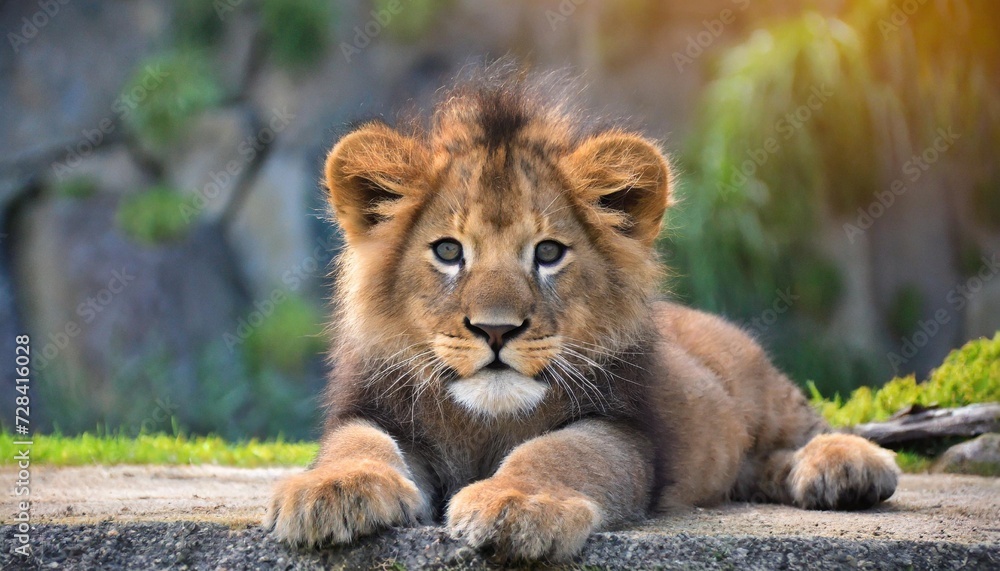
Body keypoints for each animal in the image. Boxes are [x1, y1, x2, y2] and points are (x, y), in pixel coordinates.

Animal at [265, 71, 899, 562]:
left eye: (548, 253)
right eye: (448, 251)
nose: (496, 329)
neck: (484, 422)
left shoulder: (623, 429)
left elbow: (559, 452)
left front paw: (516, 503)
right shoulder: (371, 409)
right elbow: (356, 442)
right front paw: (331, 491)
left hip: (763, 390)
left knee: (804, 426)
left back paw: (848, 467)